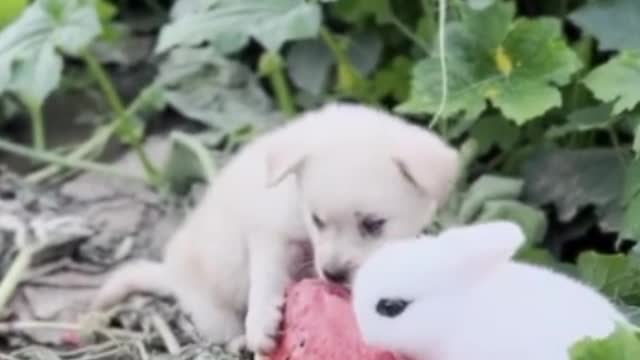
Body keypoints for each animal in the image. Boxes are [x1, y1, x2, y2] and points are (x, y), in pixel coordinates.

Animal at [90, 101, 460, 354]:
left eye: (373, 224)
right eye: (317, 220)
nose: (333, 275)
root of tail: (169, 273)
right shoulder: (270, 233)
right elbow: (266, 277)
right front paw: (261, 325)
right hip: (210, 306)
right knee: (221, 327)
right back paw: (239, 341)